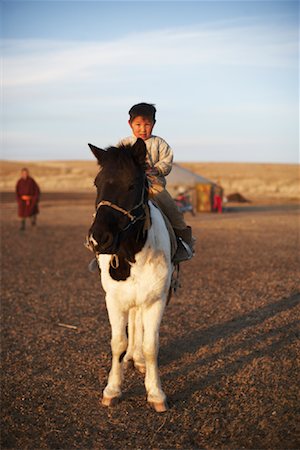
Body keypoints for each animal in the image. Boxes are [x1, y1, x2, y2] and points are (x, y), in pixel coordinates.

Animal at [85, 137, 172, 412]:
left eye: (132, 184)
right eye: (97, 183)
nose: (98, 239)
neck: (132, 254)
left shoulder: (156, 300)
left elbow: (151, 345)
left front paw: (155, 392)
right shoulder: (114, 300)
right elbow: (118, 344)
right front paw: (112, 389)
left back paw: (139, 359)